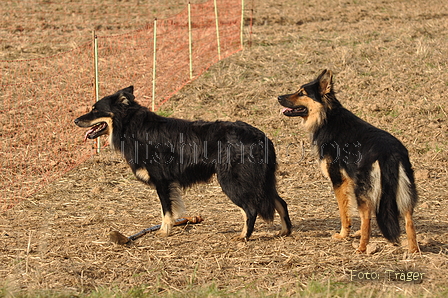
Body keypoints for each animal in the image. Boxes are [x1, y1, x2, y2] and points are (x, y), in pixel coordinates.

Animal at [74, 85, 290, 240]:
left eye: (95, 110)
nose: (75, 121)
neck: (131, 126)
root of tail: (261, 137)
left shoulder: (161, 181)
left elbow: (166, 210)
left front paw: (164, 231)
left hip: (232, 182)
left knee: (250, 209)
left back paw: (244, 236)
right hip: (263, 181)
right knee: (281, 202)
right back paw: (284, 231)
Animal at [278, 70, 418, 254]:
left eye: (302, 93)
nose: (279, 97)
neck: (327, 117)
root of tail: (389, 152)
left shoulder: (339, 181)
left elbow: (344, 212)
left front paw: (343, 234)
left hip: (364, 191)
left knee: (366, 217)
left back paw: (361, 248)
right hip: (404, 191)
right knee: (409, 220)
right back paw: (413, 250)